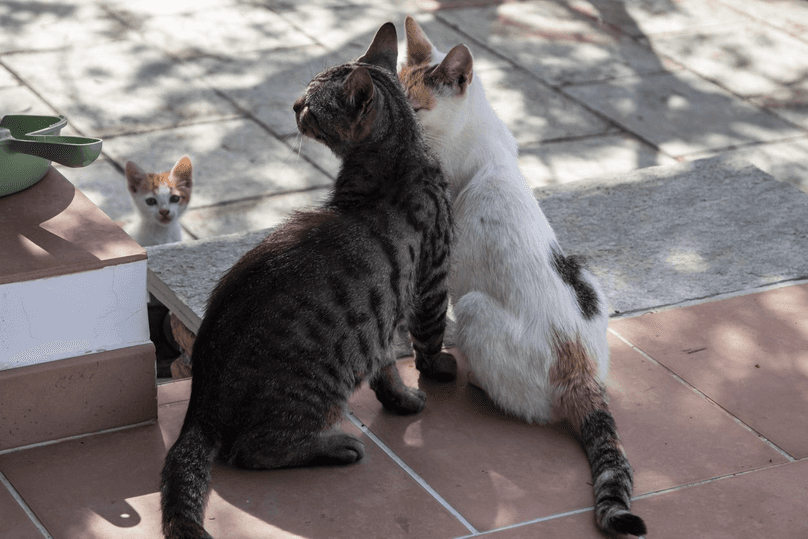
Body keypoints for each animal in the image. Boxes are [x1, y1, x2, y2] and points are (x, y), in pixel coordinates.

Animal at [158, 22, 454, 539]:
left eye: (311, 106)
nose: (294, 105)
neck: (395, 164)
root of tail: (199, 409)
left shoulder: (383, 318)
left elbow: (387, 368)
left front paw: (399, 398)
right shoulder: (432, 282)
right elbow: (429, 339)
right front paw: (436, 372)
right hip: (317, 387)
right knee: (252, 450)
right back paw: (336, 446)